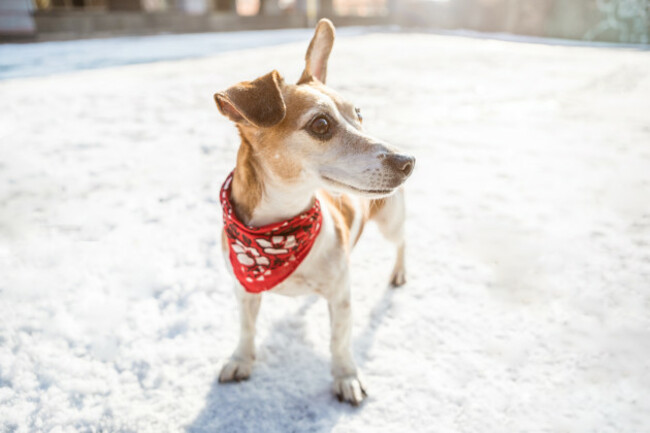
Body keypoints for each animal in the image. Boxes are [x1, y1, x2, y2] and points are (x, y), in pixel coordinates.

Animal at [214, 19, 416, 404]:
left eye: (359, 115)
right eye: (320, 124)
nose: (408, 161)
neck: (279, 232)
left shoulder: (341, 298)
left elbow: (340, 341)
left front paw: (346, 377)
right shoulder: (244, 290)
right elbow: (246, 329)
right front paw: (240, 359)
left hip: (391, 221)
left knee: (402, 243)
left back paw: (399, 272)